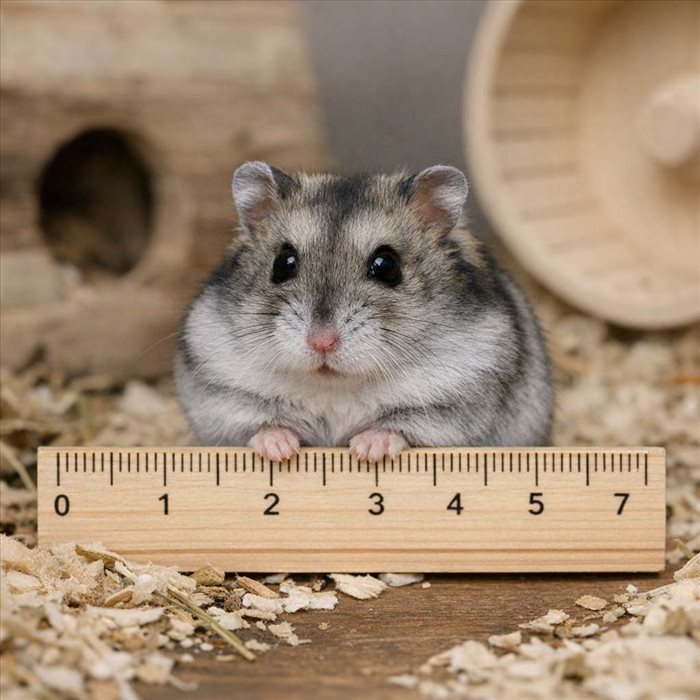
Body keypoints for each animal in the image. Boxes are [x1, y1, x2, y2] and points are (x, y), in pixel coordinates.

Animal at [175, 162, 553, 461]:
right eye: (283, 264)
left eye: (387, 266)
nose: (322, 342)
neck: (335, 387)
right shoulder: (222, 398)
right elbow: (258, 425)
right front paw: (279, 449)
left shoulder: (452, 409)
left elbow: (401, 428)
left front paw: (367, 449)